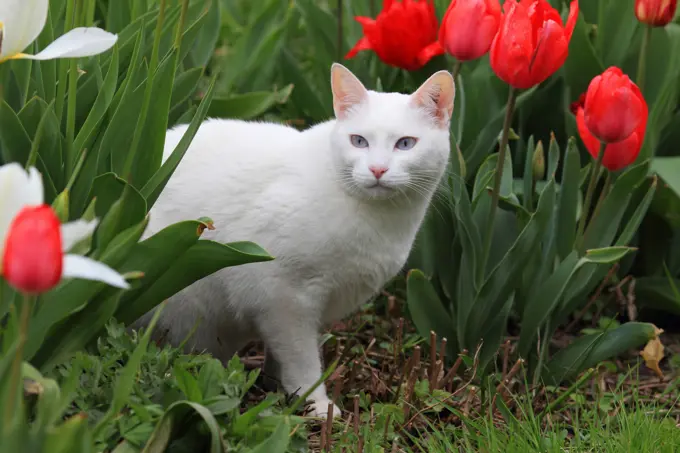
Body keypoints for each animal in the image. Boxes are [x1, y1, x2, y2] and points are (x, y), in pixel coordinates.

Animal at [133, 62, 454, 416]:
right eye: (359, 141)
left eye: (405, 144)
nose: (378, 170)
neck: (381, 220)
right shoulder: (284, 297)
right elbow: (301, 358)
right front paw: (316, 403)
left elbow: (281, 355)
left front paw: (278, 387)